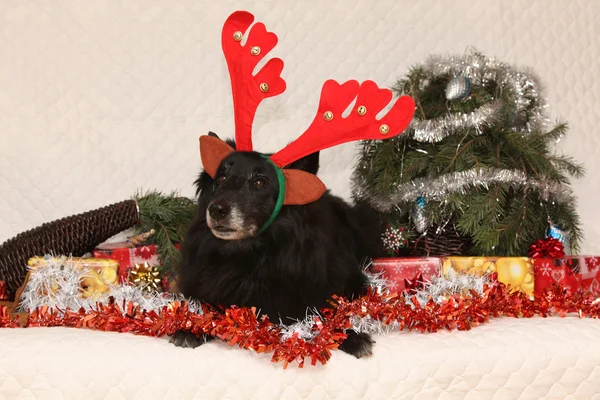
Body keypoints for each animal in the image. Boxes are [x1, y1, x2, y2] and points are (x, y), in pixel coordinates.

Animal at [170, 133, 384, 358]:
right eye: (221, 178)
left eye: (259, 182)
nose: (216, 210)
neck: (252, 255)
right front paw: (190, 328)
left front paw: (351, 335)